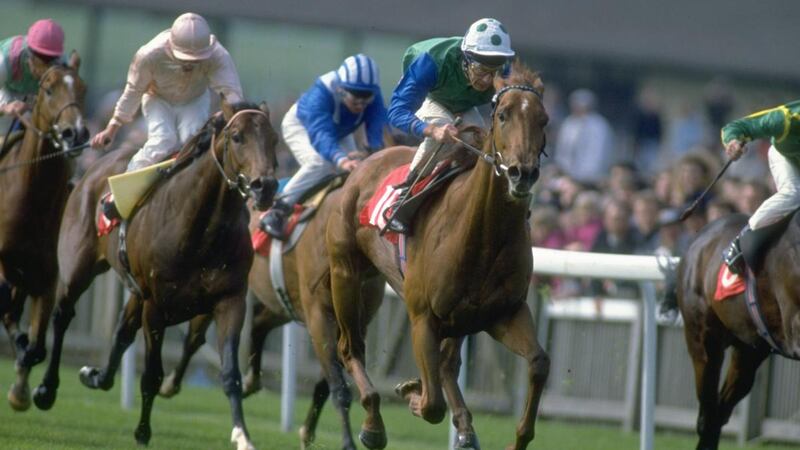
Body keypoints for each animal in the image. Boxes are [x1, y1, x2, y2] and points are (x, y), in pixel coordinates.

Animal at [31, 102, 280, 450]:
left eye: (274, 139)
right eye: (237, 136)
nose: (265, 186)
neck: (199, 229)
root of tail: (92, 170)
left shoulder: (229, 300)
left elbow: (230, 373)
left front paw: (242, 435)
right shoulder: (157, 305)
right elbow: (152, 373)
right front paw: (142, 431)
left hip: (135, 290)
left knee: (122, 331)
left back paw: (95, 375)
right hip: (78, 266)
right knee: (63, 315)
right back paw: (45, 390)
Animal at [159, 185, 384, 450]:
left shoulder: (356, 321)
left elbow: (331, 377)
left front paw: (308, 431)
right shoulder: (319, 314)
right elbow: (337, 382)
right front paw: (347, 442)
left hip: (280, 304)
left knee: (257, 324)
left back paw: (250, 382)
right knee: (195, 338)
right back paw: (170, 384)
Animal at [324, 62, 552, 450]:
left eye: (544, 119)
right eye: (503, 115)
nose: (522, 173)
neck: (481, 233)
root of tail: (368, 162)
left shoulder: (505, 313)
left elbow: (538, 362)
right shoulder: (423, 317)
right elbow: (431, 405)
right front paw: (413, 396)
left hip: (456, 317)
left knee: (447, 365)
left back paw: (463, 427)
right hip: (346, 274)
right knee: (349, 346)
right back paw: (373, 423)